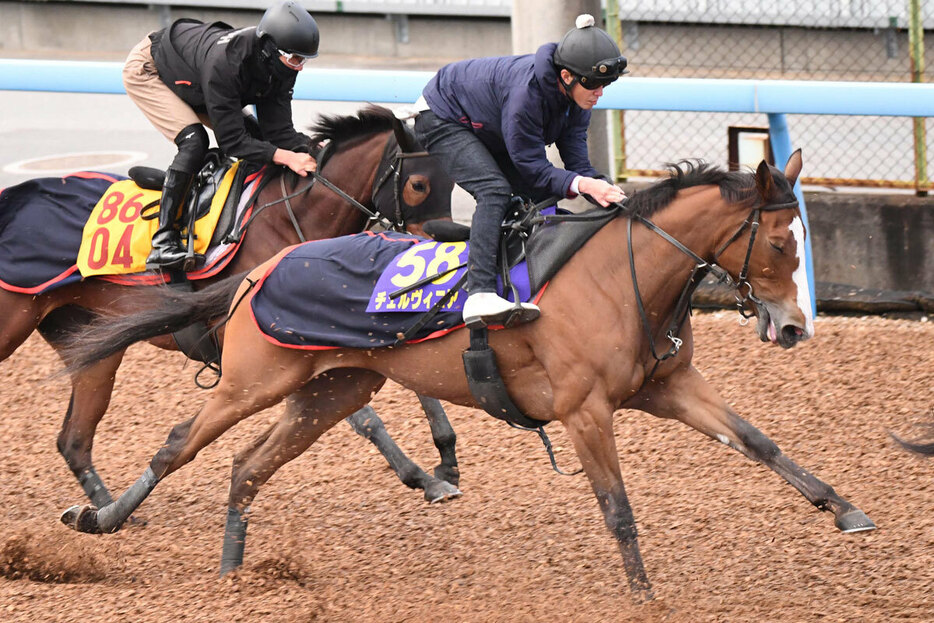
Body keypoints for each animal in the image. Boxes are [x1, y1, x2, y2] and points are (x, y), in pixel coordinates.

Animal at [0, 105, 464, 510]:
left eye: (453, 182)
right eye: (419, 184)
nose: (436, 246)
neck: (292, 219)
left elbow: (418, 386)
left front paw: (444, 463)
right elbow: (364, 417)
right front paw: (424, 475)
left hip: (91, 343)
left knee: (73, 439)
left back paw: (108, 510)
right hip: (15, 320)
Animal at [58, 149, 876, 604]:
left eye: (802, 237)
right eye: (780, 242)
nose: (794, 327)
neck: (623, 276)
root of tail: (260, 267)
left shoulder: (668, 387)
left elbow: (759, 442)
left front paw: (845, 509)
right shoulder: (586, 408)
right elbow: (617, 506)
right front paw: (645, 594)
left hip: (333, 389)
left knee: (246, 464)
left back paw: (235, 571)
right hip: (251, 382)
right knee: (180, 442)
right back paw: (104, 518)